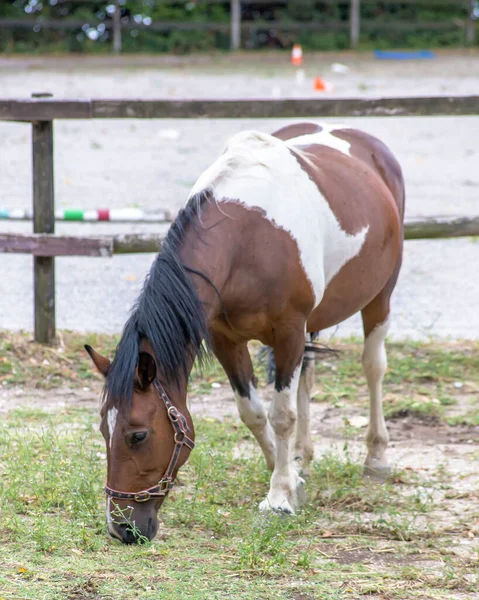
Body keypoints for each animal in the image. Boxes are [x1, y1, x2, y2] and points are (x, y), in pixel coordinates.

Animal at [86, 123, 404, 544]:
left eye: (137, 435)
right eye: (103, 429)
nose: (121, 528)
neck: (248, 239)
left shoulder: (288, 331)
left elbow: (281, 414)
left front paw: (280, 496)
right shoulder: (226, 338)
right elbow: (253, 413)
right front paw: (291, 477)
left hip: (380, 297)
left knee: (373, 367)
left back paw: (376, 457)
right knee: (308, 378)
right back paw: (304, 455)